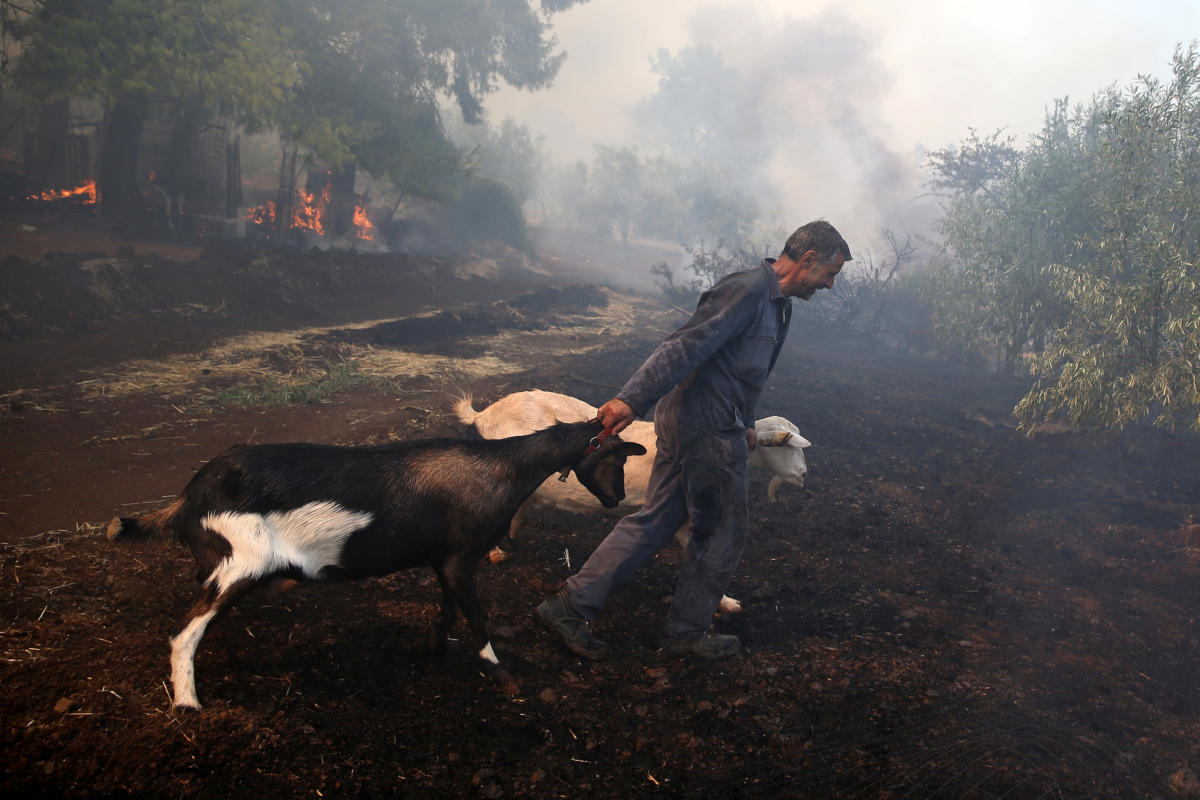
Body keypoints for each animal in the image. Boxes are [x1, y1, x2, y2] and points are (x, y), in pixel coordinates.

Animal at [106, 422, 643, 710]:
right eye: (617, 459)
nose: (615, 500)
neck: (501, 468)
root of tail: (188, 497)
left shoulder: (442, 562)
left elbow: (447, 610)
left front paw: (434, 647)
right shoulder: (460, 559)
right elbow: (475, 616)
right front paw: (500, 673)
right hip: (241, 564)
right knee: (184, 631)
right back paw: (188, 703)